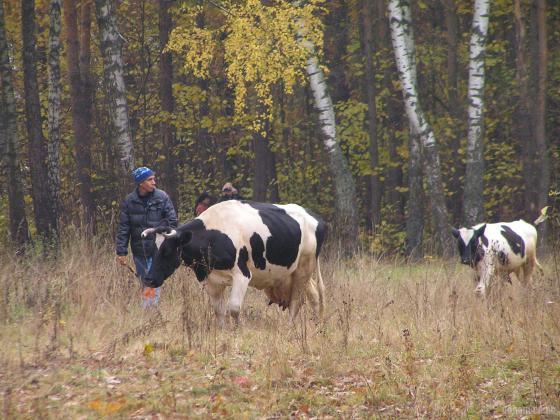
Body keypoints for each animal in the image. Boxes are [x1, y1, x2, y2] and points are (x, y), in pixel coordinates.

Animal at [139, 199, 328, 324]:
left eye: (166, 251)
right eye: (149, 250)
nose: (149, 279)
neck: (213, 236)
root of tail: (316, 218)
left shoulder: (242, 275)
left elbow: (234, 308)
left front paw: (238, 330)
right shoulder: (211, 279)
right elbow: (219, 311)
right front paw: (224, 331)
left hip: (304, 267)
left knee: (296, 301)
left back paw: (291, 326)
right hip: (296, 272)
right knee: (313, 295)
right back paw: (316, 324)